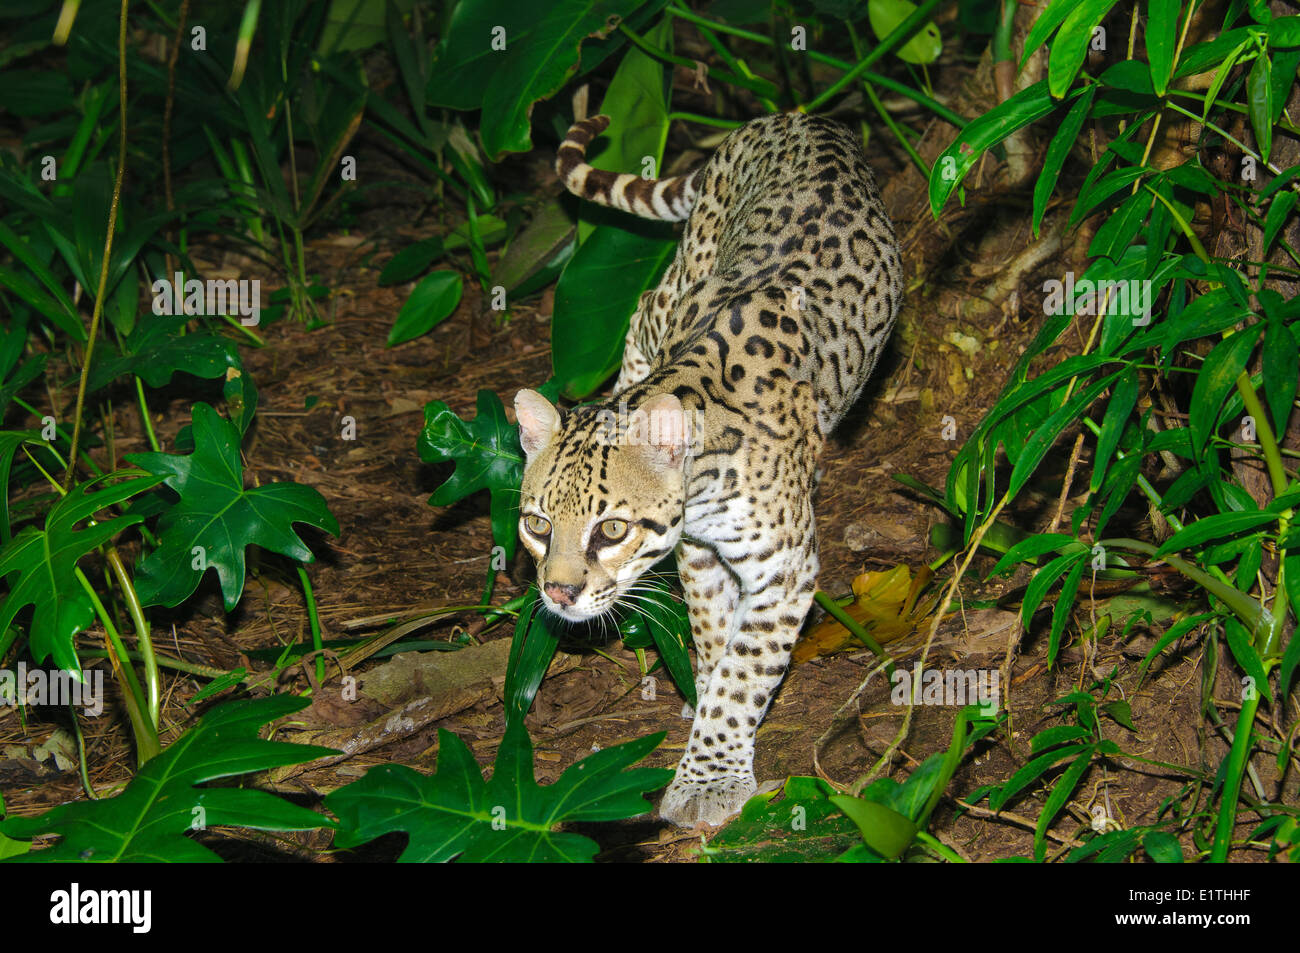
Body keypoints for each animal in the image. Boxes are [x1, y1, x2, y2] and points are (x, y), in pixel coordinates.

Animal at [512, 113, 899, 826]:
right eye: (536, 525)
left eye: (612, 531)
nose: (558, 594)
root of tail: (797, 117)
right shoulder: (697, 552)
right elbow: (715, 631)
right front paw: (709, 694)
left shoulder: (785, 568)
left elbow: (746, 668)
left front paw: (711, 774)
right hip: (689, 263)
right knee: (643, 308)